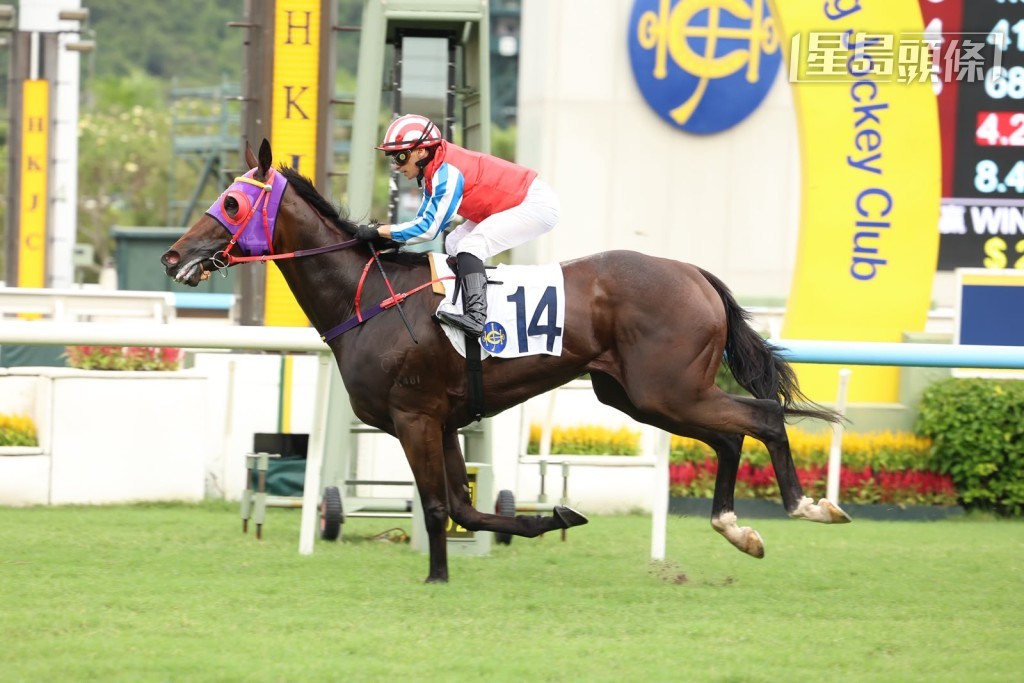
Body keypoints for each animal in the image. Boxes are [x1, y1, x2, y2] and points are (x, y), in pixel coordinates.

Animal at [161, 139, 850, 583]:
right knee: (730, 436)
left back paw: (805, 505)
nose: (172, 257)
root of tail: (693, 272)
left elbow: (439, 507)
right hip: (638, 395)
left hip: (667, 389)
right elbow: (466, 507)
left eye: (229, 202)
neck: (370, 296)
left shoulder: (414, 416)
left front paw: (437, 579)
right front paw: (555, 516)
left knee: (762, 419)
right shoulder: (442, 421)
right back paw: (739, 528)